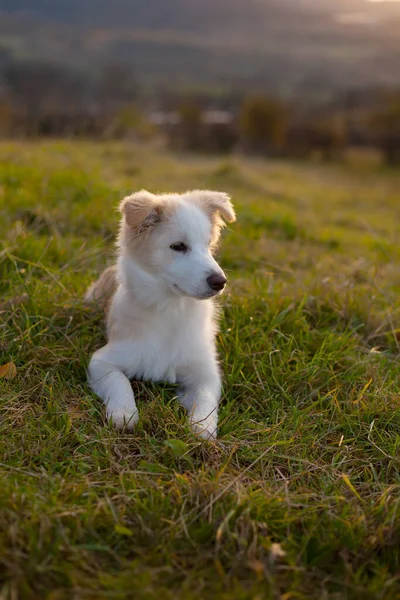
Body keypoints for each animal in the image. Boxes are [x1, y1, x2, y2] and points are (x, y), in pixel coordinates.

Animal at [84, 191, 234, 440]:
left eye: (208, 244)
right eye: (178, 246)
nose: (220, 282)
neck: (171, 309)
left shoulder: (206, 373)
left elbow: (205, 400)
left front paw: (201, 427)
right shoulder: (102, 361)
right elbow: (119, 382)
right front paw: (124, 413)